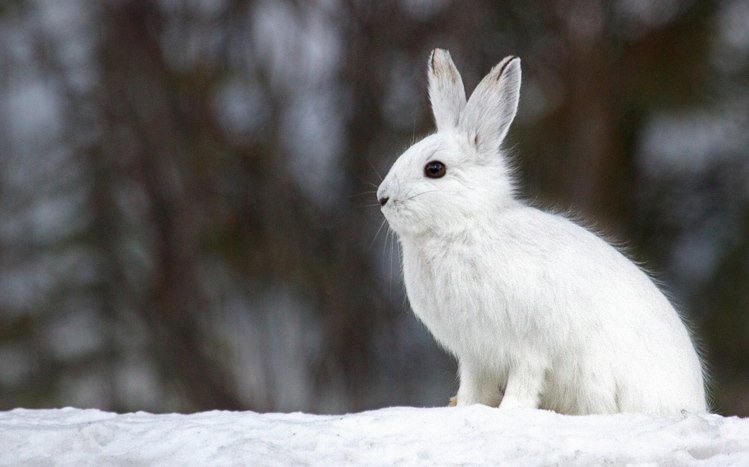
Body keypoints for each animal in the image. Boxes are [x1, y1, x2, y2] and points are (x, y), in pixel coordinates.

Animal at [376, 49, 707, 415]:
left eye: (434, 169)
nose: (382, 198)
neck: (465, 226)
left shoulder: (528, 348)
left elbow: (525, 381)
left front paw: (510, 411)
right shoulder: (475, 355)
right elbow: (473, 388)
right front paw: (465, 407)